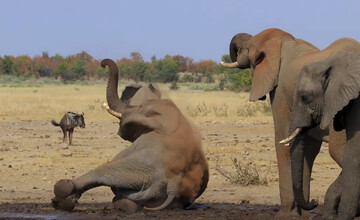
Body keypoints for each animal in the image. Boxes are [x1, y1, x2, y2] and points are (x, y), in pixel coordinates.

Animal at [51, 58, 208, 213]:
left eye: (140, 107)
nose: (102, 64)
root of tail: (173, 186)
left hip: (141, 167)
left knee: (103, 172)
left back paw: (62, 193)